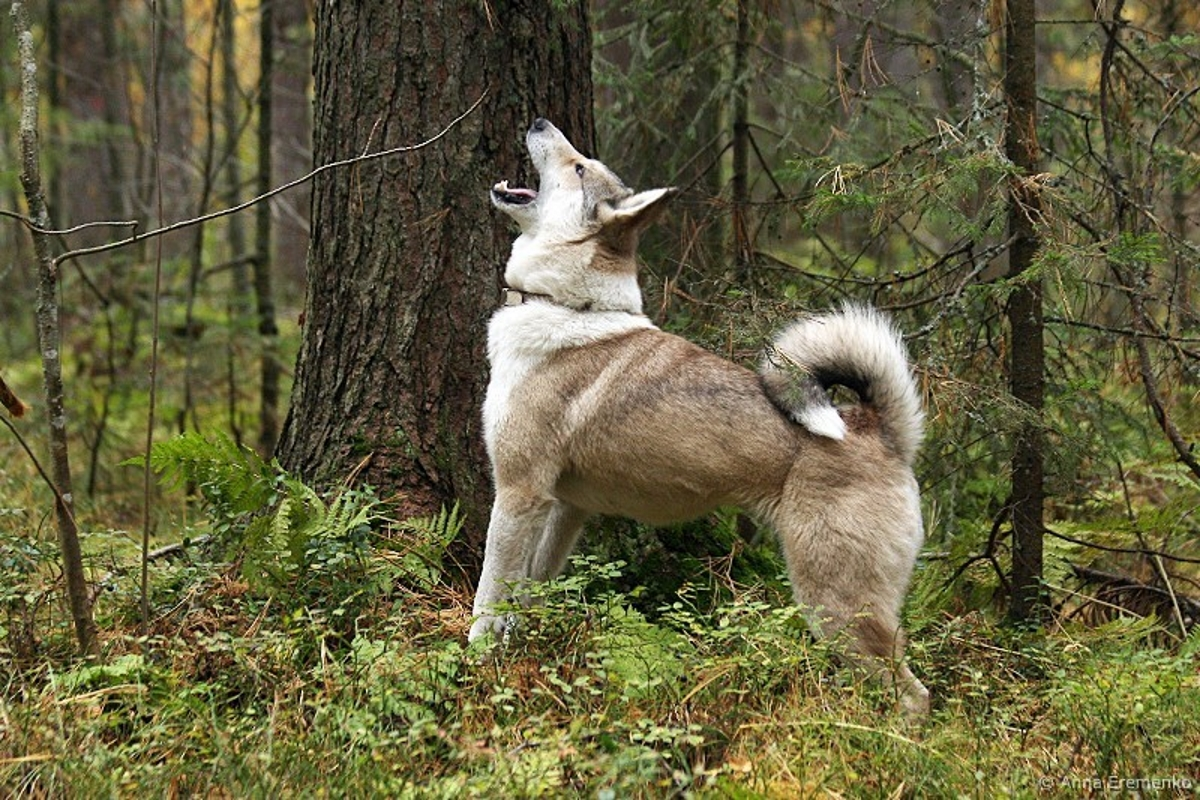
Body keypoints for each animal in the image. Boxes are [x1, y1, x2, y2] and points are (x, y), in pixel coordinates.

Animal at [468, 115, 926, 714]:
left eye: (579, 168)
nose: (541, 121)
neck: (567, 306)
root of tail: (881, 430)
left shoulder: (519, 493)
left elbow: (488, 596)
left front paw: (473, 664)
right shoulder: (565, 507)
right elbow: (528, 592)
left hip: (836, 603)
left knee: (913, 696)